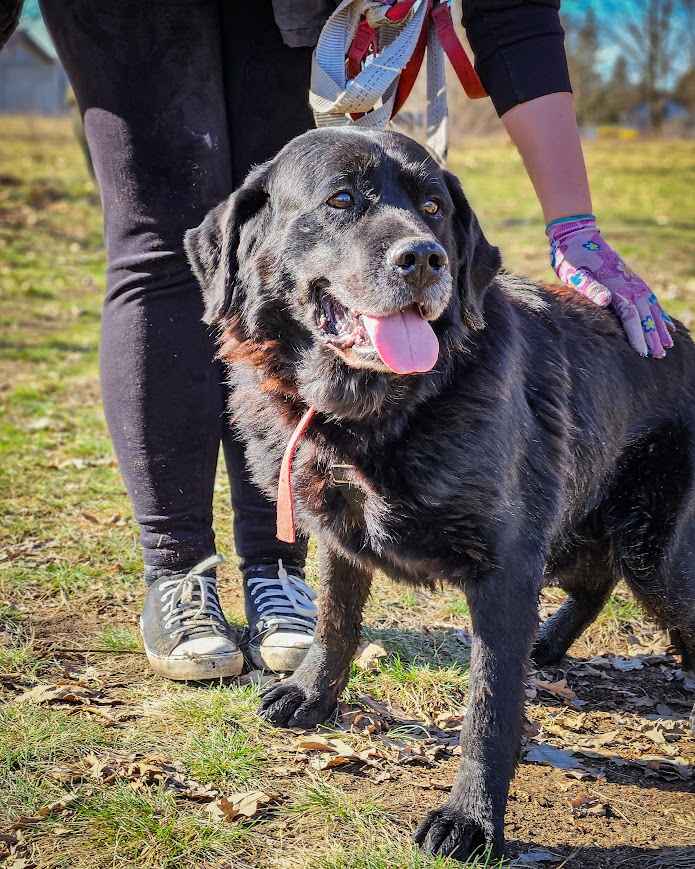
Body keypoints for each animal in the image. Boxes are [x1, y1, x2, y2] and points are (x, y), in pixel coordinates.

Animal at [185, 131, 695, 860]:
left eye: (433, 207)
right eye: (342, 199)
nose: (425, 258)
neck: (377, 409)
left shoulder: (506, 564)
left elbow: (490, 705)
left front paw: (471, 818)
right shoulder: (339, 530)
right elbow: (336, 621)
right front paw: (312, 693)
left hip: (653, 554)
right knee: (594, 581)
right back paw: (548, 642)